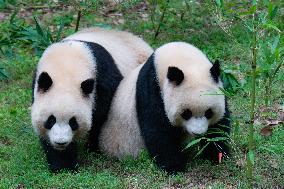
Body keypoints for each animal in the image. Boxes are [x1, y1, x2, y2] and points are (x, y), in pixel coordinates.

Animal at [31, 27, 153, 172]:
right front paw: (62, 164)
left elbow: (101, 117)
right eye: (51, 120)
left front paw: (92, 148)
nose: (61, 142)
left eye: (73, 122)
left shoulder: (103, 80)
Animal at [98, 42, 230, 173]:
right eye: (186, 113)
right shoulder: (152, 88)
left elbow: (219, 127)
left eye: (209, 112)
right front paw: (174, 167)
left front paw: (217, 155)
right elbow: (157, 129)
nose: (198, 133)